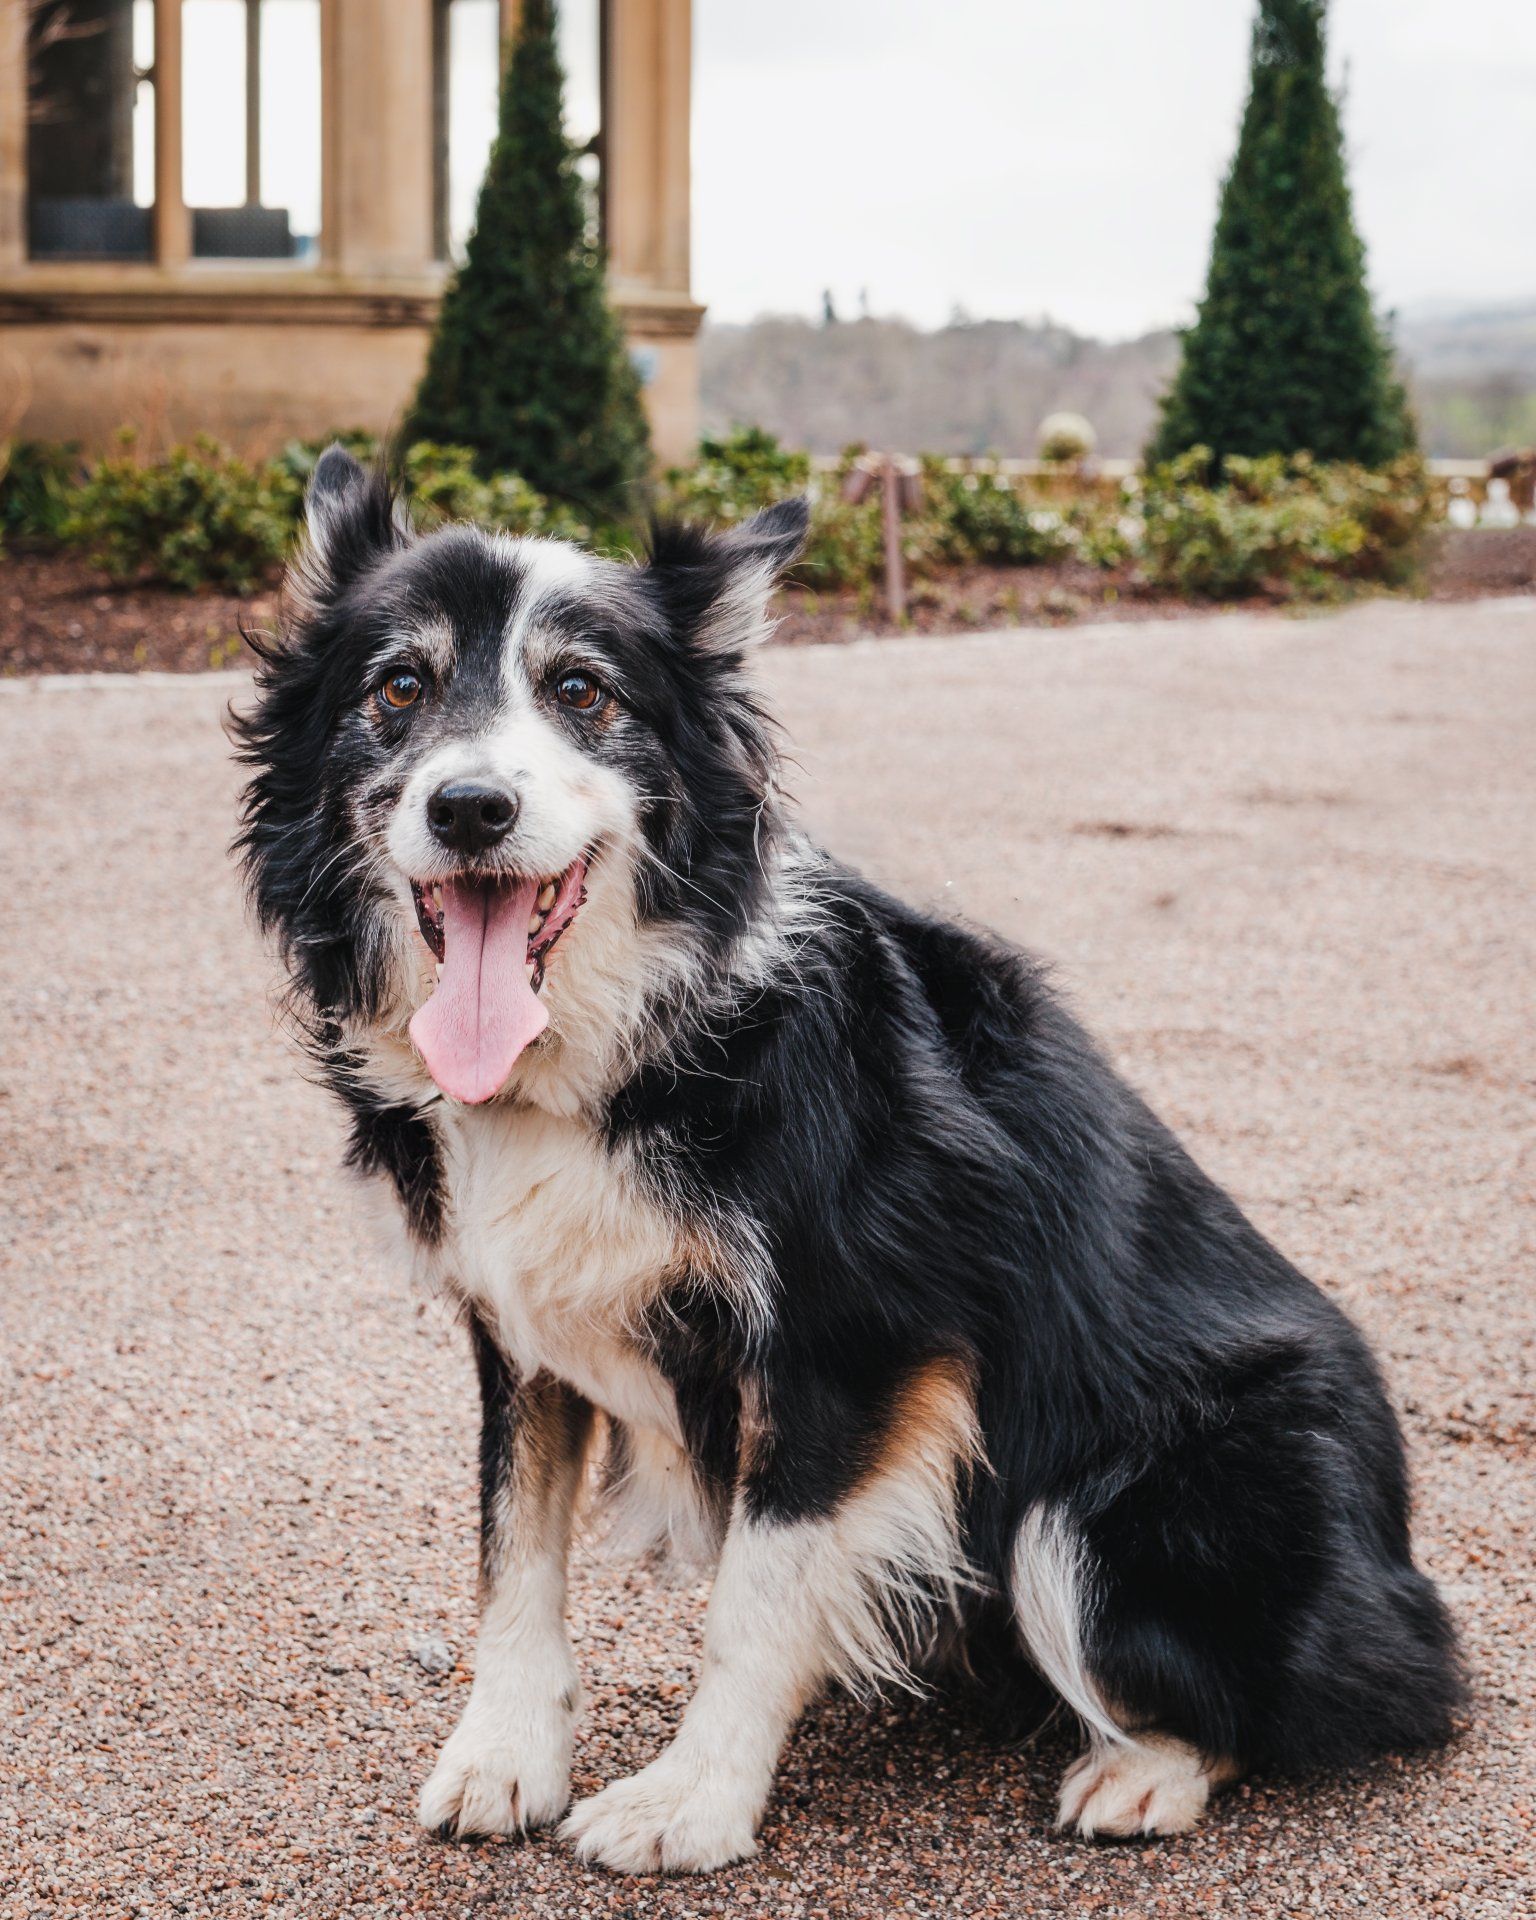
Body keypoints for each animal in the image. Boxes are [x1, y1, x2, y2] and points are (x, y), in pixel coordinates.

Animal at [237, 441, 1466, 1866]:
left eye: (582, 691)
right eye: (398, 688)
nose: (471, 807)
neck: (617, 1052)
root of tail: (1403, 1561)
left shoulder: (857, 1341)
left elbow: (755, 1594)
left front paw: (693, 1801)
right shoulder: (517, 1323)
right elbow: (513, 1548)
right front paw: (504, 1758)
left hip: (1118, 1507)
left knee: (1329, 1696)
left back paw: (1143, 1772)